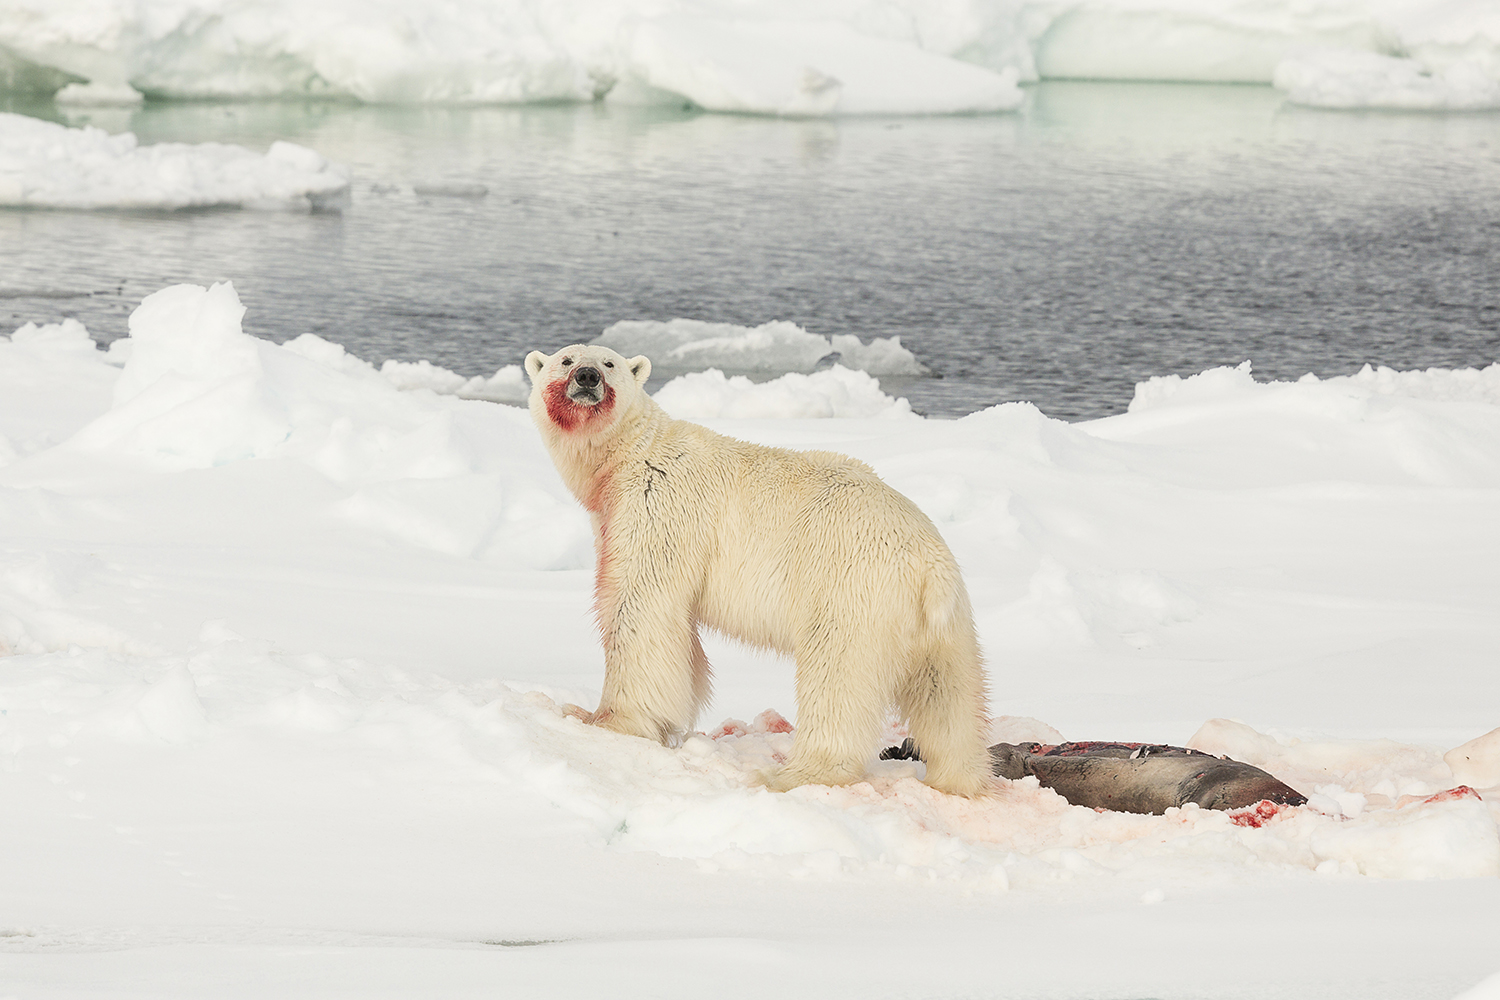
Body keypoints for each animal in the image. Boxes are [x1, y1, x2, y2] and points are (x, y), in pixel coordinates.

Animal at [525, 343, 993, 797]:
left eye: (609, 363)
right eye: (567, 360)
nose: (587, 377)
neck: (630, 456)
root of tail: (930, 567)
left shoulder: (658, 506)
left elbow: (641, 607)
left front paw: (601, 719)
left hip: (851, 591)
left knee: (837, 680)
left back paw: (792, 774)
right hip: (947, 627)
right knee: (948, 697)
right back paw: (958, 779)